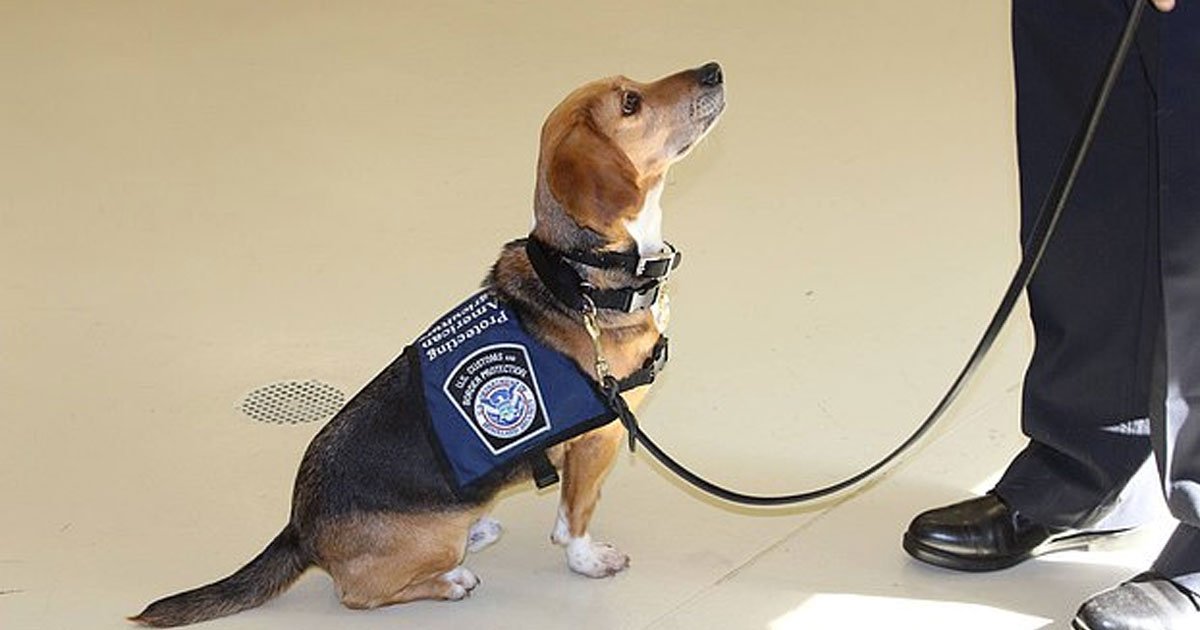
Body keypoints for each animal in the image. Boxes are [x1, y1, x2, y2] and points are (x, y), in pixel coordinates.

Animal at [136, 61, 724, 624]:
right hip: (425, 547)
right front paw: (588, 560)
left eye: (635, 85)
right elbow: (575, 516)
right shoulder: (596, 441)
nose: (714, 70)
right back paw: (451, 580)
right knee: (358, 594)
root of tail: (300, 527)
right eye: (630, 103)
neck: (580, 276)